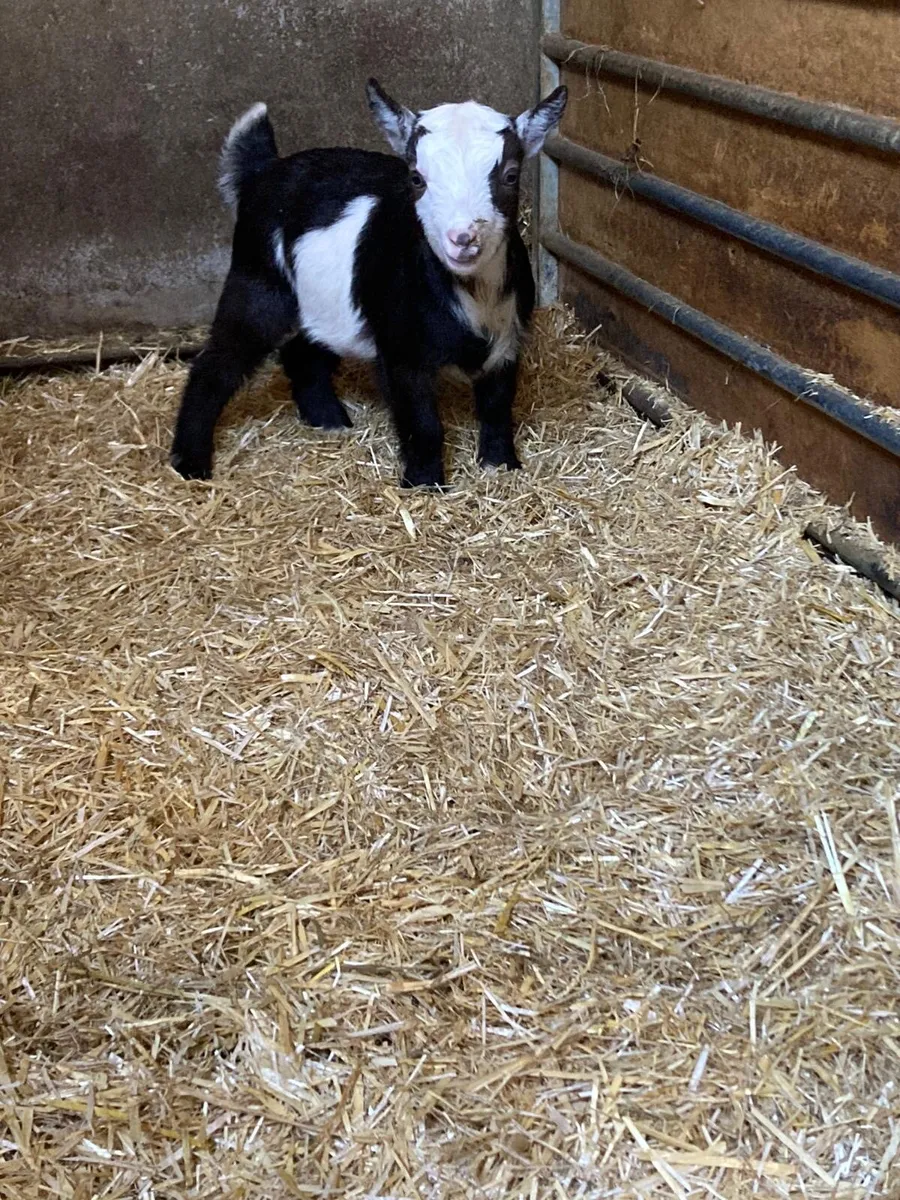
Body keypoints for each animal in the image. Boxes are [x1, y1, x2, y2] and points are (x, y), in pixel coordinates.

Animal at [170, 80, 567, 488]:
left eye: (511, 175)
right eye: (416, 178)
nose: (463, 238)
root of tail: (265, 170)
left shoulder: (507, 339)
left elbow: (497, 407)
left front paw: (501, 466)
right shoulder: (400, 351)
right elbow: (423, 423)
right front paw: (425, 483)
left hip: (322, 304)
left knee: (304, 353)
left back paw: (329, 421)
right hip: (256, 284)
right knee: (216, 364)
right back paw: (191, 463)